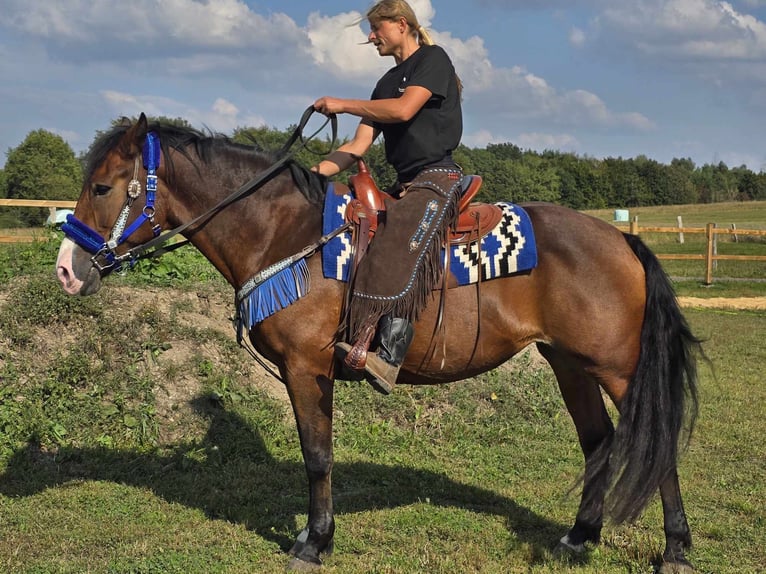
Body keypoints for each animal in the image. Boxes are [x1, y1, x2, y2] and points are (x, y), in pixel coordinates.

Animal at [54, 113, 704, 574]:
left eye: (104, 187)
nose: (66, 269)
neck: (282, 235)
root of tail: (621, 240)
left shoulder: (307, 368)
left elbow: (317, 456)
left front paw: (314, 543)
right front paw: (314, 534)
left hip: (617, 367)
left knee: (657, 444)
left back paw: (675, 548)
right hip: (569, 363)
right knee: (598, 442)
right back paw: (580, 537)